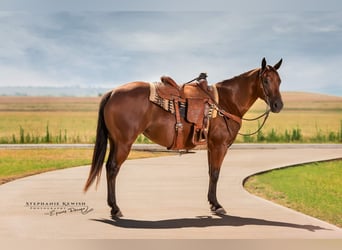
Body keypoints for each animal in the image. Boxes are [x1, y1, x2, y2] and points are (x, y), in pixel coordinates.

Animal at [83, 57, 284, 218]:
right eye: (266, 80)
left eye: (280, 81)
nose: (278, 105)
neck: (227, 101)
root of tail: (113, 92)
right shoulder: (220, 146)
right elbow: (216, 173)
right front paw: (217, 205)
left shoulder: (211, 146)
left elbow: (211, 172)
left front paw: (212, 203)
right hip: (124, 143)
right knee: (113, 169)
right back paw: (115, 208)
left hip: (115, 141)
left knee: (108, 167)